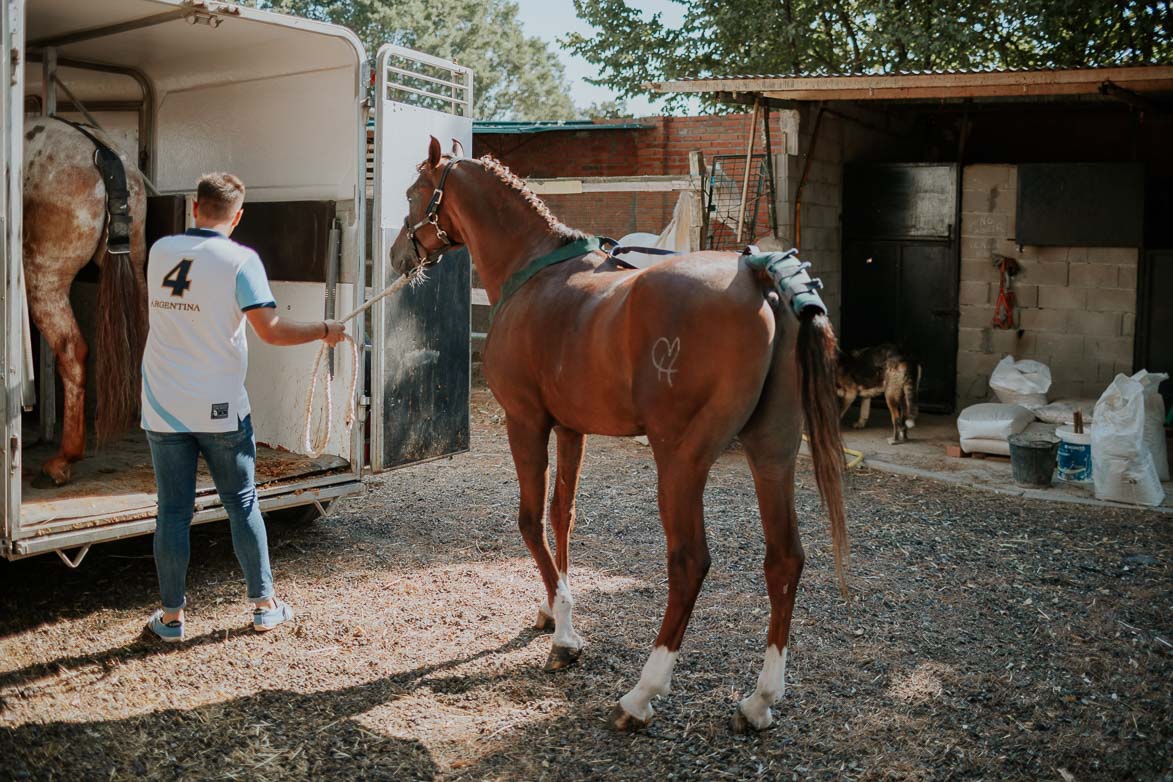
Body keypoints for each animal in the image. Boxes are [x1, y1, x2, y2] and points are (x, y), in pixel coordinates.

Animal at [389, 138, 849, 736]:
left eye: (413, 192)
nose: (398, 255)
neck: (532, 273)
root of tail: (757, 275)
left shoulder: (526, 421)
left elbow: (530, 520)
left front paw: (565, 637)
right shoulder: (571, 428)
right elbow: (562, 515)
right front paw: (552, 608)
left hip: (680, 460)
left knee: (689, 562)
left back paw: (641, 695)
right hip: (771, 454)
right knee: (785, 560)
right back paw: (760, 700)